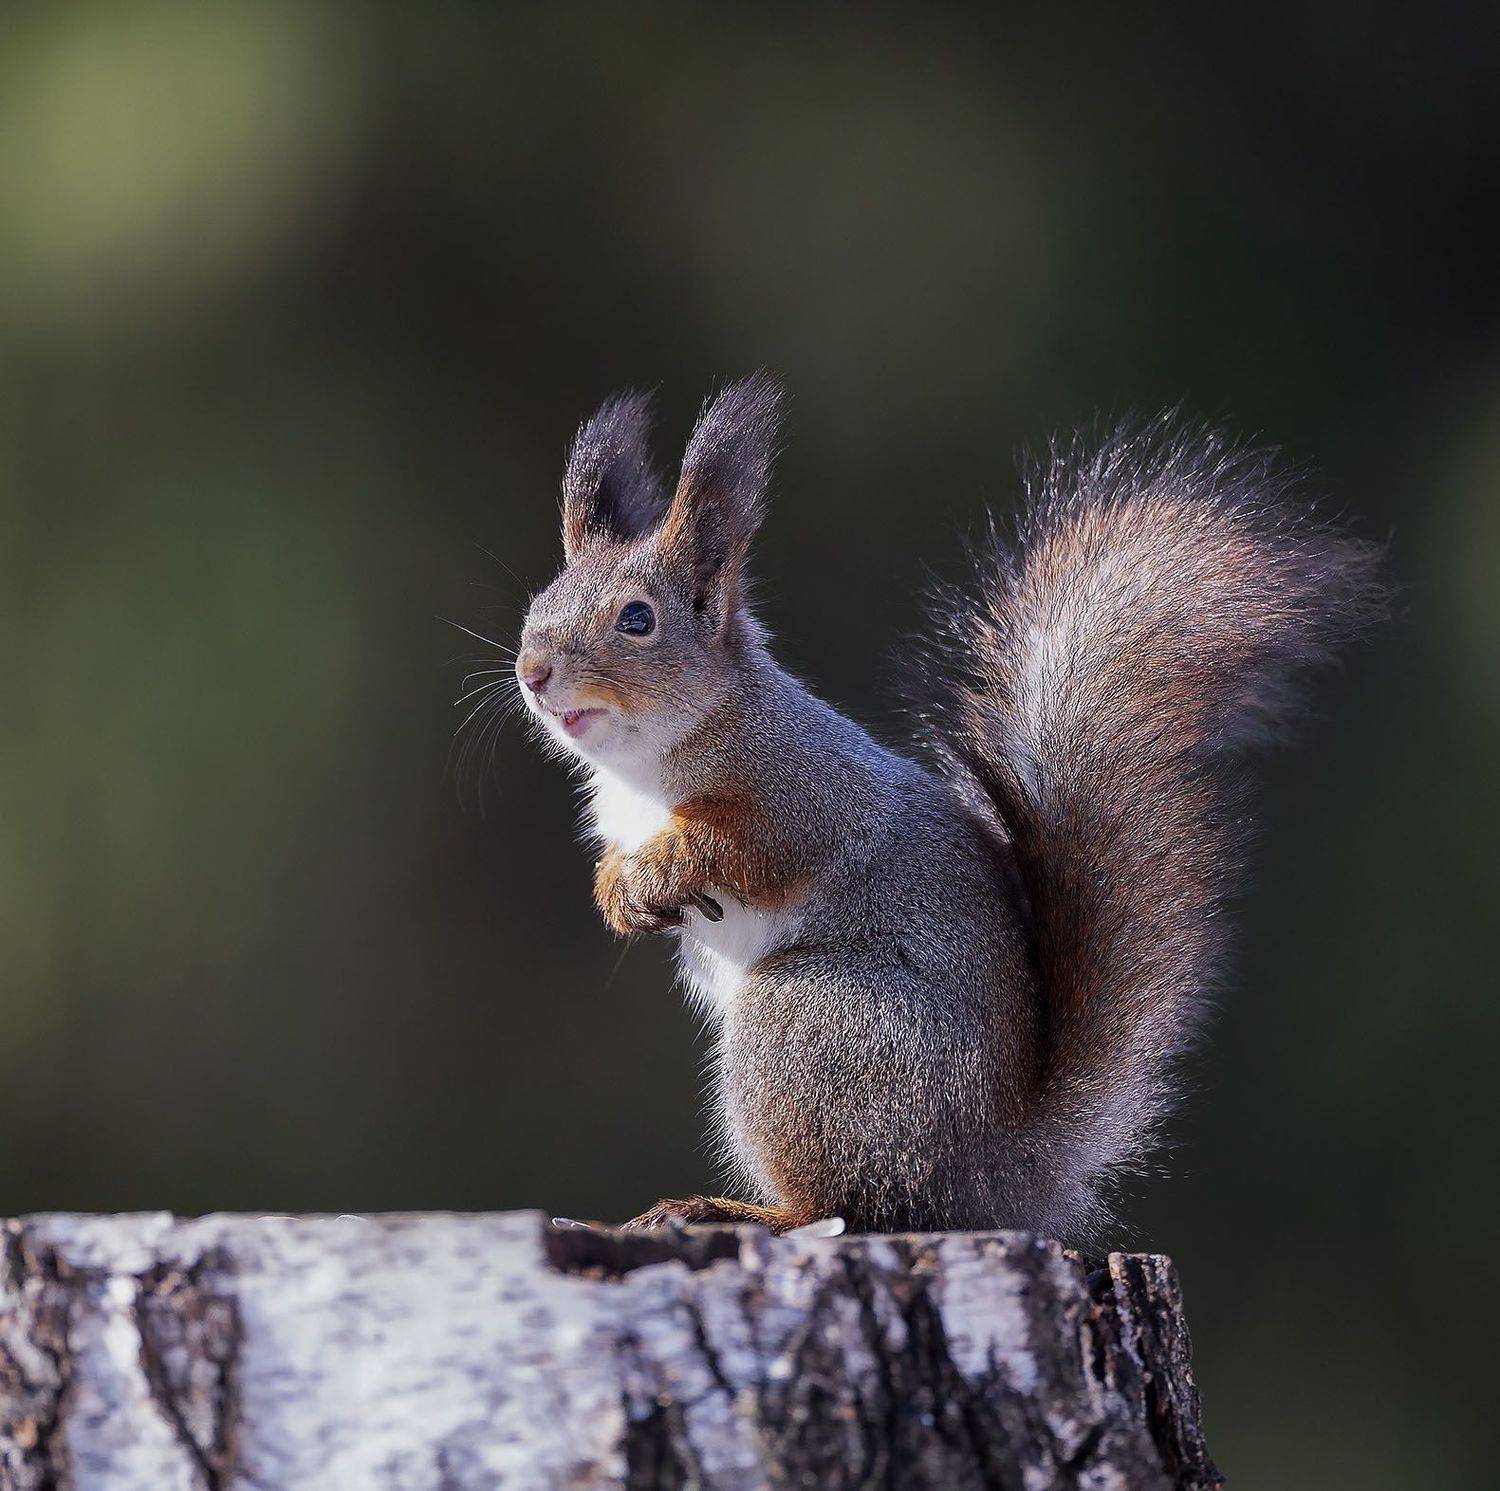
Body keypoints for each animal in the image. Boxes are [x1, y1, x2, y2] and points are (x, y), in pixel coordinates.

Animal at [510, 374, 1383, 1239]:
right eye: (537, 603)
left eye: (637, 619)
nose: (532, 672)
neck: (643, 765)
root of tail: (993, 1174)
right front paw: (615, 891)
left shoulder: (802, 790)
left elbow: (754, 847)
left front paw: (658, 870)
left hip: (809, 1025)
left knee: (840, 1203)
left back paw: (735, 1207)